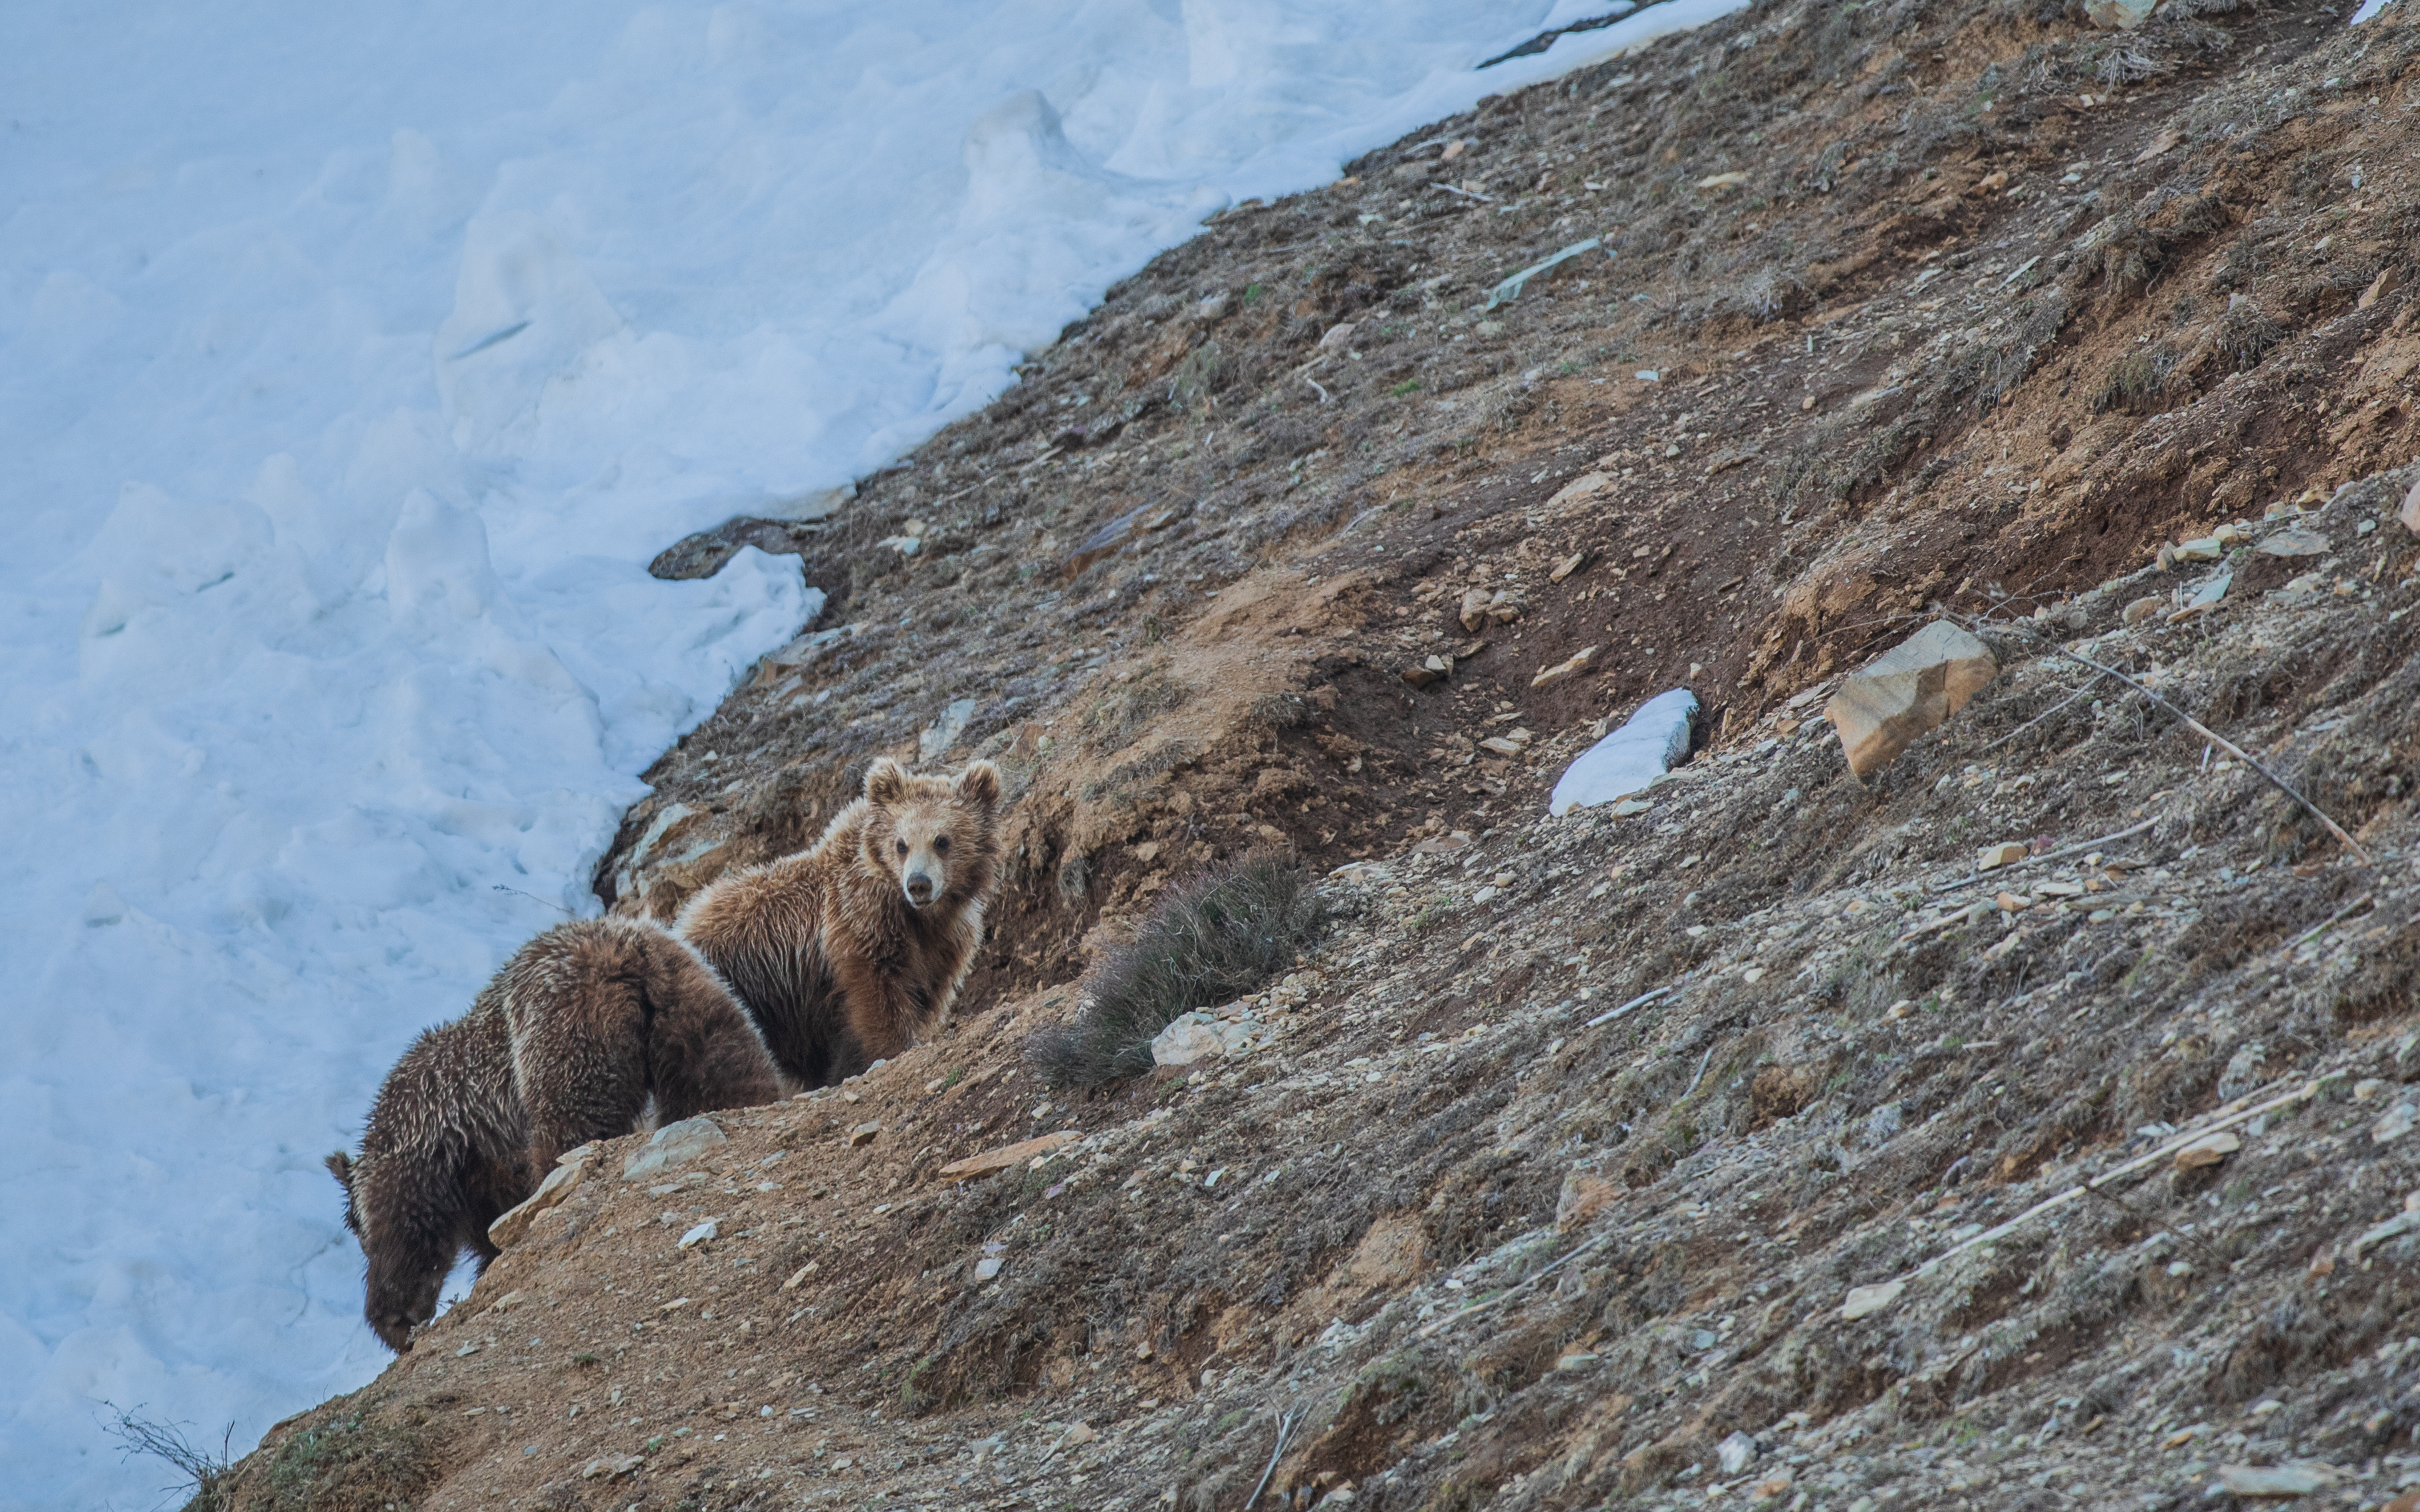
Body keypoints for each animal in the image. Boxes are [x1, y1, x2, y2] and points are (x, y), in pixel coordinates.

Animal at [326, 916, 784, 1350]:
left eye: (356, 1228)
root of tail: (630, 960)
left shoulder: (428, 1141)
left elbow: (412, 1229)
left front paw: (396, 1317)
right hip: (696, 1014)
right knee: (726, 1079)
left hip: (565, 1038)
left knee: (569, 1134)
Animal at [678, 756, 1002, 1088]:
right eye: (901, 844)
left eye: (942, 841)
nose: (918, 884)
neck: (917, 915)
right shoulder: (859, 922)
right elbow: (877, 997)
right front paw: (895, 1047)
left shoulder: (944, 943)